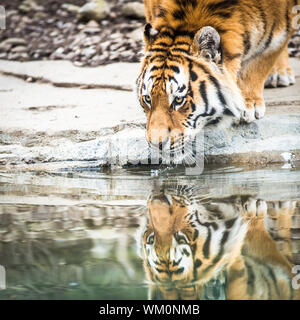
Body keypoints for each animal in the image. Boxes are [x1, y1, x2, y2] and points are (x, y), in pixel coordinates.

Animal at [136, 0, 298, 162]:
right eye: (147, 99)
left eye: (179, 100)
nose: (156, 144)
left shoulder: (280, 34)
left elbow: (259, 64)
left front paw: (248, 105)